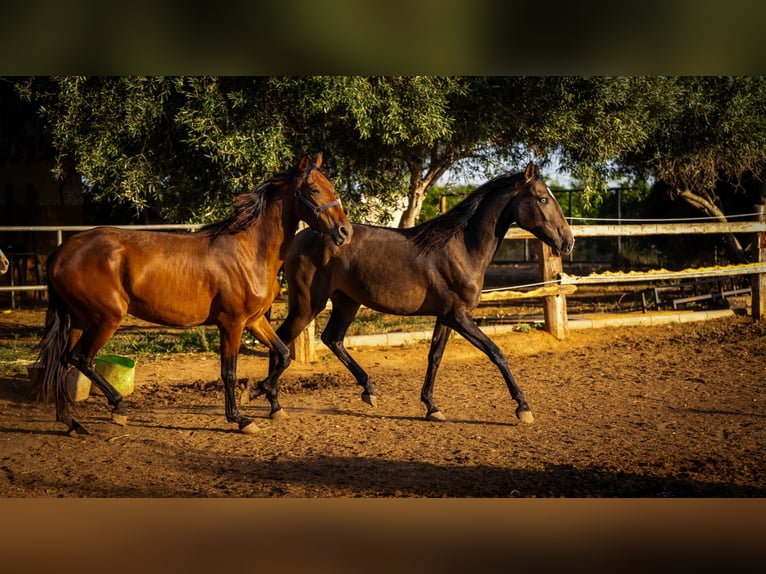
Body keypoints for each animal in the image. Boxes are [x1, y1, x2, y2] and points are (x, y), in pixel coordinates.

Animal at [33, 153, 352, 436]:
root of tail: (61, 251)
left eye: (331, 187)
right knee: (81, 359)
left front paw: (264, 397)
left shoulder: (254, 320)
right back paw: (118, 409)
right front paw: (241, 418)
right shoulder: (232, 324)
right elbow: (229, 373)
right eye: (313, 189)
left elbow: (283, 354)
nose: (345, 231)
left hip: (79, 319)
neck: (249, 252)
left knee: (63, 362)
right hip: (106, 318)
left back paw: (72, 424)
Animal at [242, 162, 574, 424]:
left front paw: (432, 407)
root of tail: (299, 238)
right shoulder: (459, 316)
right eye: (543, 199)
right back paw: (272, 402)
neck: (462, 248)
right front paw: (523, 408)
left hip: (346, 302)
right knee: (282, 340)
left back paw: (368, 391)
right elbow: (497, 353)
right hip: (308, 304)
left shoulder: (446, 317)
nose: (567, 242)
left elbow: (435, 357)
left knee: (331, 339)